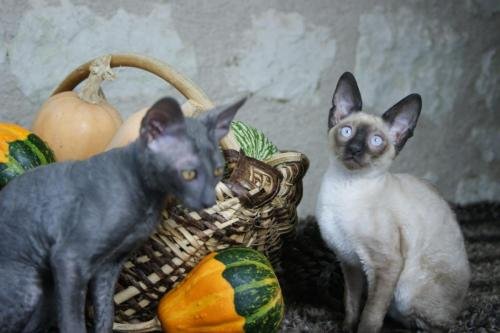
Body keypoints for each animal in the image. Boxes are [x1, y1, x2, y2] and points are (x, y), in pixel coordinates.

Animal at [0, 94, 244, 330]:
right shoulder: (69, 258)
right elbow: (73, 323)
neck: (146, 201)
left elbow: (106, 315)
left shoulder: (109, 266)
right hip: (29, 290)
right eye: (188, 173)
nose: (208, 200)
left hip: (49, 296)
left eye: (218, 171)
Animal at [318, 72, 470, 332]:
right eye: (346, 132)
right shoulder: (349, 261)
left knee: (436, 325)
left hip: (406, 292)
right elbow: (352, 303)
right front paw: (346, 328)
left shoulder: (384, 265)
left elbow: (370, 315)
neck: (345, 187)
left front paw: (363, 329)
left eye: (376, 141)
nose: (355, 149)